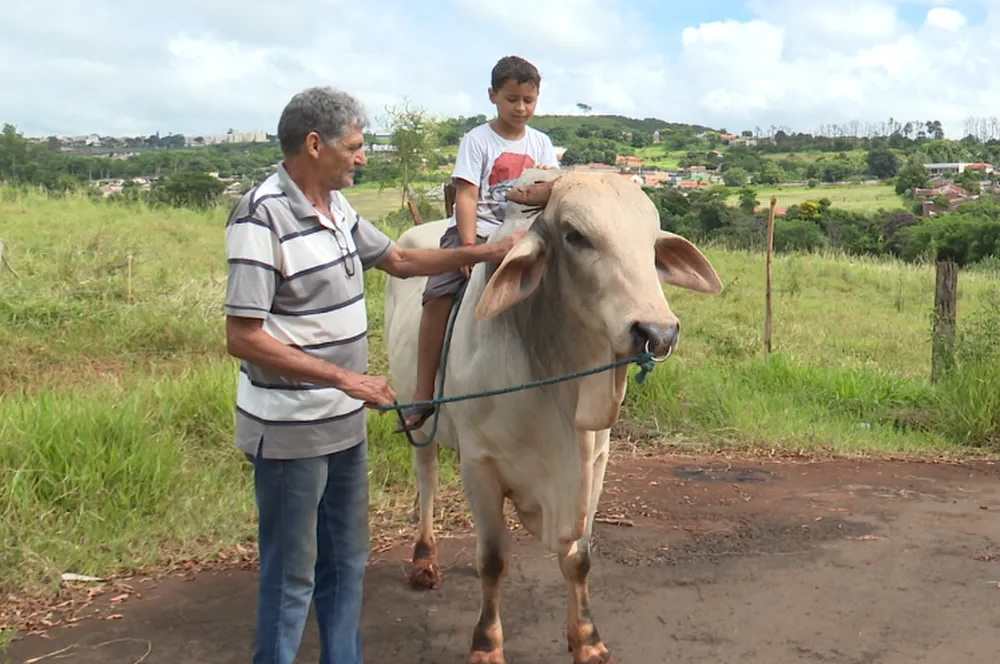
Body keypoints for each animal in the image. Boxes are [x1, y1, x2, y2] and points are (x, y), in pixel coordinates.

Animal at [382, 167, 720, 664]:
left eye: (651, 241)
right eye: (575, 236)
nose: (657, 332)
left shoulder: (595, 462)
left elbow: (578, 557)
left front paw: (588, 639)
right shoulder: (480, 465)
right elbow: (493, 561)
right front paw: (486, 645)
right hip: (417, 411)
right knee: (425, 474)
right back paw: (424, 560)